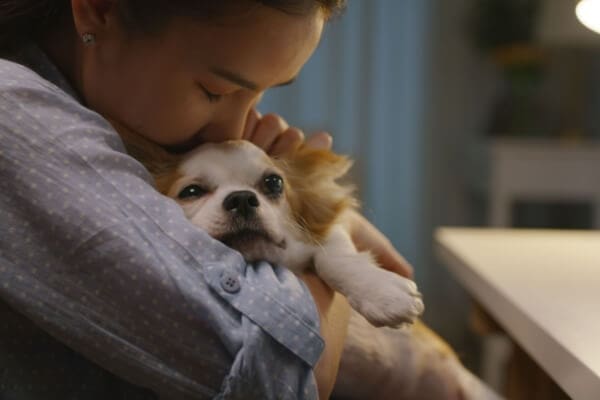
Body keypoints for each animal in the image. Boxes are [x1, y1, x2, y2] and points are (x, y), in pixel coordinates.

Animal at [111, 120, 502, 398]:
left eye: (273, 183)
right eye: (191, 191)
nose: (242, 198)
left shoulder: (328, 227)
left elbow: (332, 259)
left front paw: (383, 295)